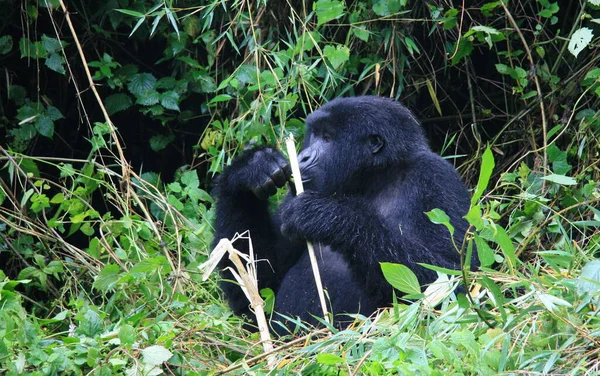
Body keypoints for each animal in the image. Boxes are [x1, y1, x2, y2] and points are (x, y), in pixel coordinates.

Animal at [213, 96, 476, 332]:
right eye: (315, 135)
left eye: (327, 138)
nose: (302, 157)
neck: (376, 179)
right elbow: (258, 295)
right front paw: (251, 167)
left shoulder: (434, 177)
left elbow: (455, 283)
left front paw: (327, 216)